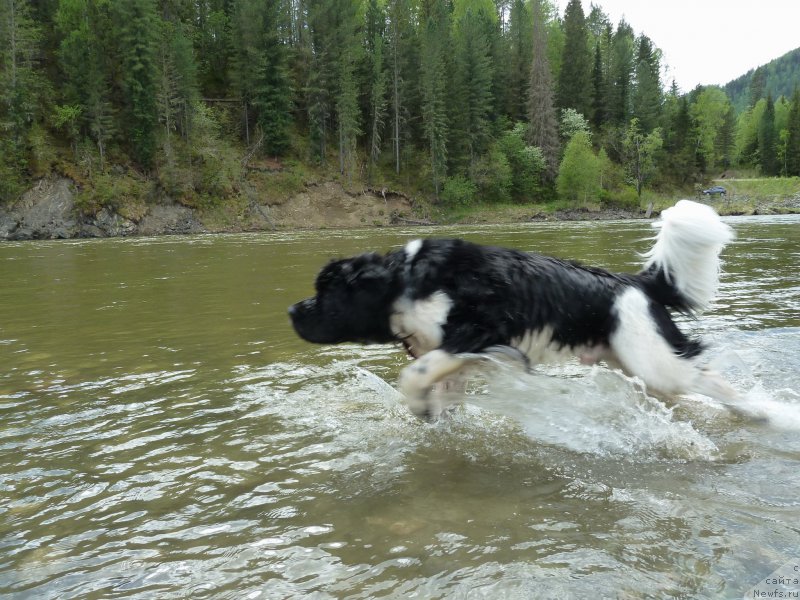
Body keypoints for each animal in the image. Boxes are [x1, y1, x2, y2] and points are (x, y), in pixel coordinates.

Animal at [288, 199, 736, 420]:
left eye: (325, 291)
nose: (292, 310)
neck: (406, 281)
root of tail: (636, 283)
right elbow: (441, 386)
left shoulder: (480, 330)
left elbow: (413, 374)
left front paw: (417, 405)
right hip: (629, 361)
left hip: (652, 358)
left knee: (713, 380)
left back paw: (756, 412)